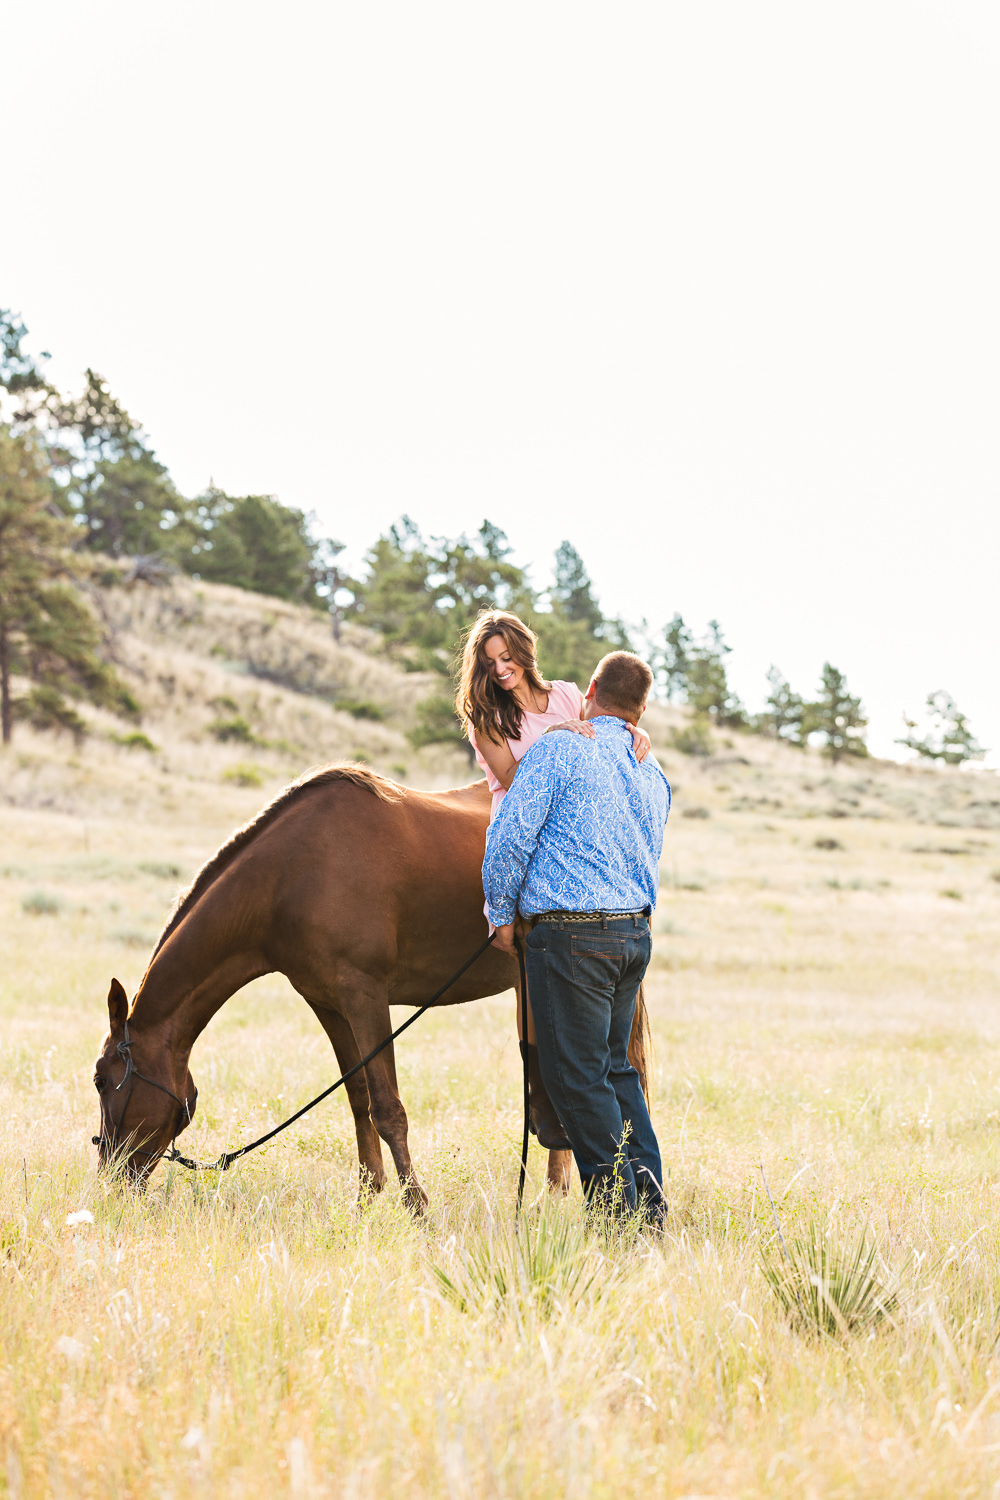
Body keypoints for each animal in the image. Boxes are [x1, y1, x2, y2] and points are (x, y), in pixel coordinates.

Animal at [93, 768, 650, 1200]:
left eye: (102, 1081)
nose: (109, 1179)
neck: (291, 875)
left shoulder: (366, 997)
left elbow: (388, 1107)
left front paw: (416, 1205)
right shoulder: (329, 1004)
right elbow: (358, 1097)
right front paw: (368, 1196)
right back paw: (557, 1187)